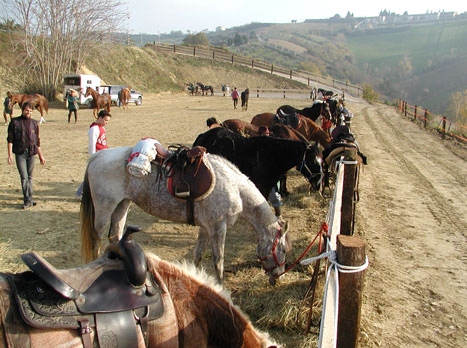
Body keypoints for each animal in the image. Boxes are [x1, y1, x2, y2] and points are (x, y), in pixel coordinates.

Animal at [81, 147, 292, 286]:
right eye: (282, 250)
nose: (280, 277)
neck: (235, 189)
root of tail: (97, 156)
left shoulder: (205, 228)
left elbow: (198, 255)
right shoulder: (218, 228)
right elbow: (218, 261)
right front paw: (221, 286)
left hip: (122, 205)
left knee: (115, 235)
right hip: (104, 208)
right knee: (97, 238)